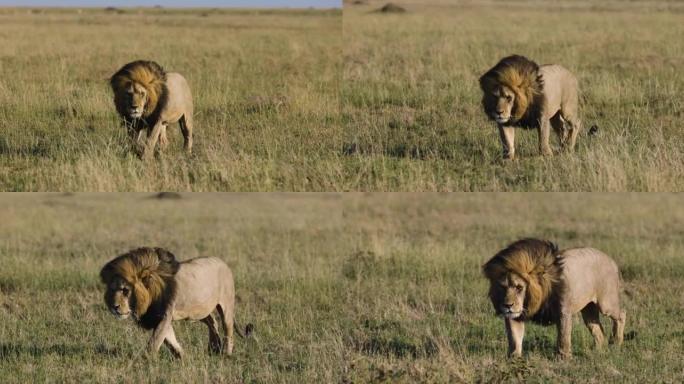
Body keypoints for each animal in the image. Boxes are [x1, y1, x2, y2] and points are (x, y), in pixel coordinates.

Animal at [97, 248, 247, 358]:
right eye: (112, 290)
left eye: (125, 290)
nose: (114, 307)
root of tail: (223, 262)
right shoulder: (159, 317)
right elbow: (170, 340)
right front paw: (183, 356)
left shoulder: (165, 315)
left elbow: (155, 341)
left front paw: (145, 361)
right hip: (199, 310)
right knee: (212, 322)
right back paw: (213, 347)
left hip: (226, 306)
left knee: (228, 329)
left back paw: (226, 354)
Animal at [480, 238, 624, 358]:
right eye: (503, 287)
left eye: (519, 287)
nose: (507, 305)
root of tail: (611, 260)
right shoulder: (516, 316)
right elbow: (515, 339)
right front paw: (514, 359)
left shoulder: (563, 312)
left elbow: (563, 338)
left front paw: (563, 359)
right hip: (589, 310)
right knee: (597, 329)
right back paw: (599, 351)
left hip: (606, 304)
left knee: (622, 314)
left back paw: (616, 342)